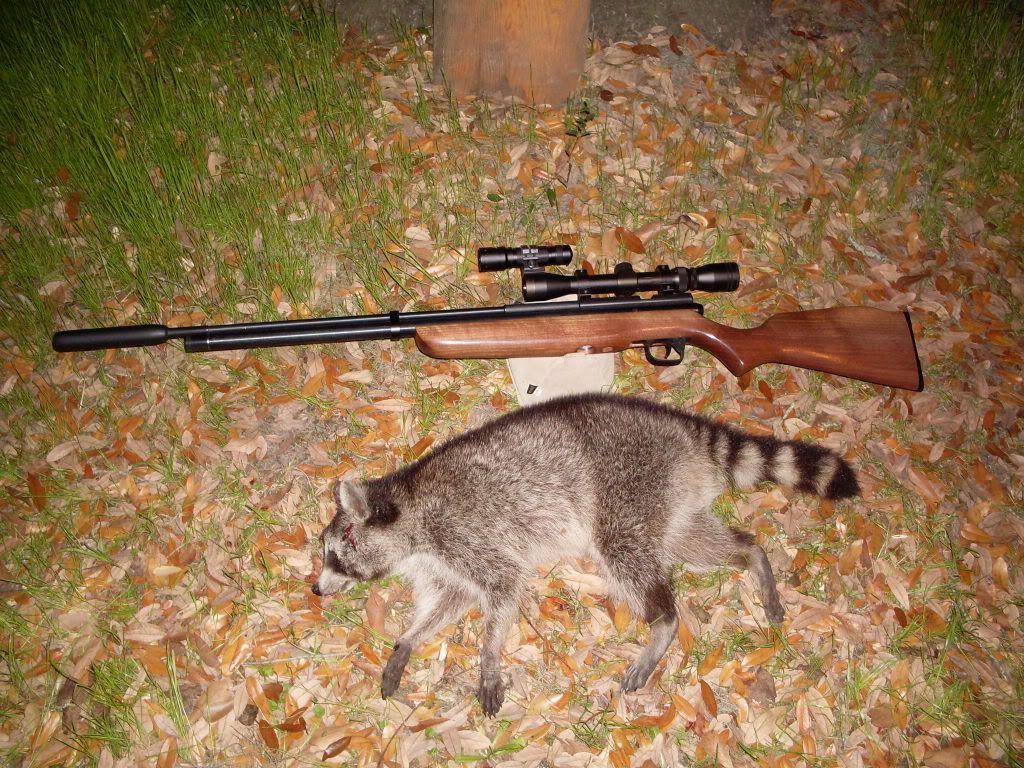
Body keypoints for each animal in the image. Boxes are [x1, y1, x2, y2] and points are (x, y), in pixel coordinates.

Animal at [312, 393, 858, 716]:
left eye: (336, 553)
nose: (315, 588)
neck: (406, 504)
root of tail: (680, 428)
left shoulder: (464, 534)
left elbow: (502, 589)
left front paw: (488, 658)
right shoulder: (442, 562)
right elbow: (450, 601)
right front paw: (407, 640)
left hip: (628, 483)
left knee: (625, 550)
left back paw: (664, 620)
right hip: (668, 496)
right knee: (691, 540)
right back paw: (752, 557)